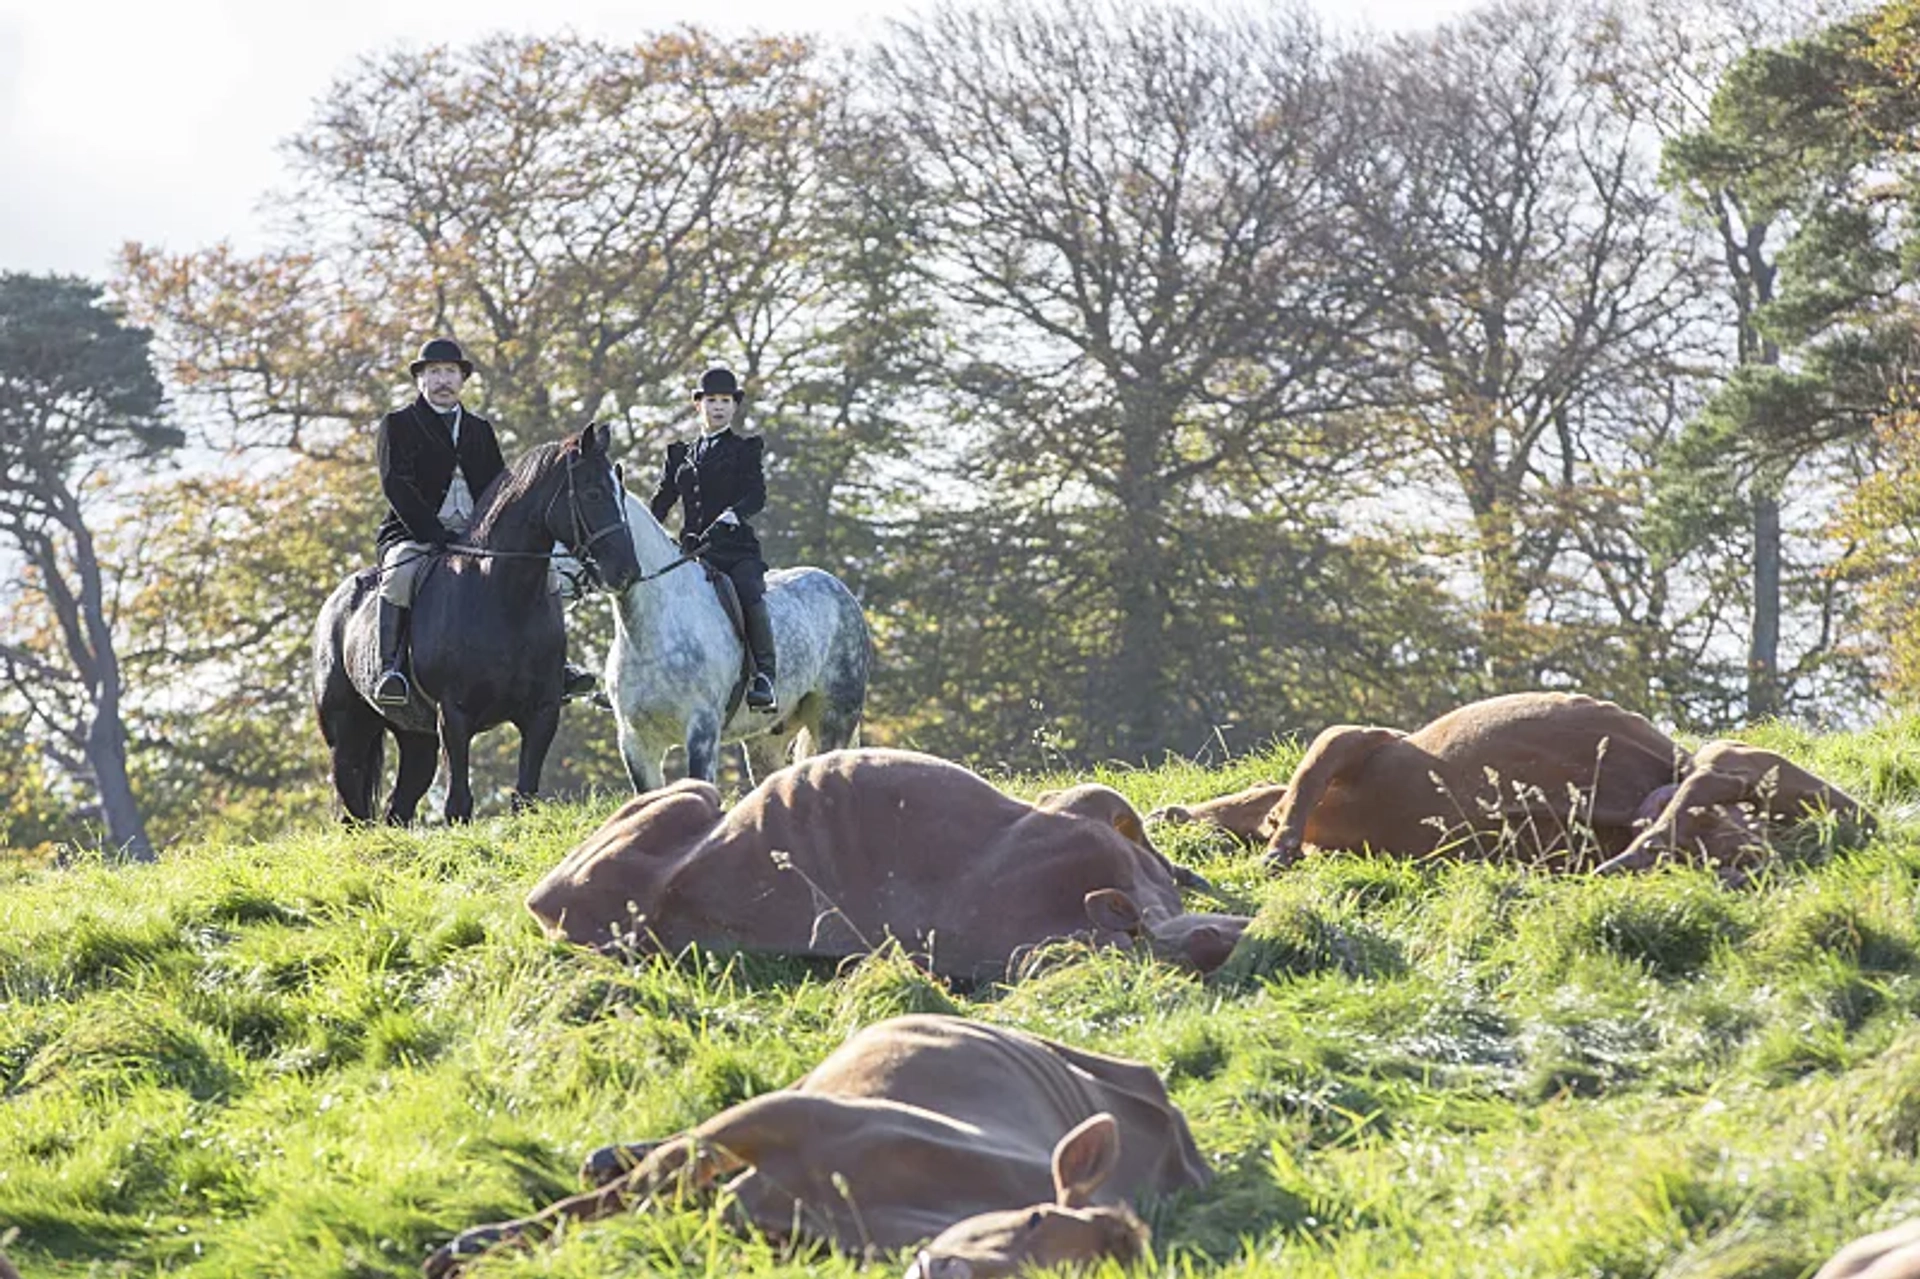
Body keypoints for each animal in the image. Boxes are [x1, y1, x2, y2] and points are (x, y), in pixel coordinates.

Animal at [311, 418, 641, 818]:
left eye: (621, 492)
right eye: (593, 493)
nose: (627, 571)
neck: (505, 598)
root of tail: (334, 603)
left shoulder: (541, 713)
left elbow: (524, 797)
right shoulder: (454, 715)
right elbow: (458, 805)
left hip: (416, 738)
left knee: (397, 807)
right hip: (349, 737)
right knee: (355, 810)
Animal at [426, 1013, 1205, 1267]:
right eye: (1038, 1216)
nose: (951, 1271)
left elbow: (654, 1204)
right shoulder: (778, 1114)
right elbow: (612, 1199)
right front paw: (471, 1244)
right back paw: (603, 1155)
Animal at [606, 487, 871, 787]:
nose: (617, 573)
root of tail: (840, 589)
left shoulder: (702, 730)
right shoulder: (635, 741)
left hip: (834, 718)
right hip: (767, 738)